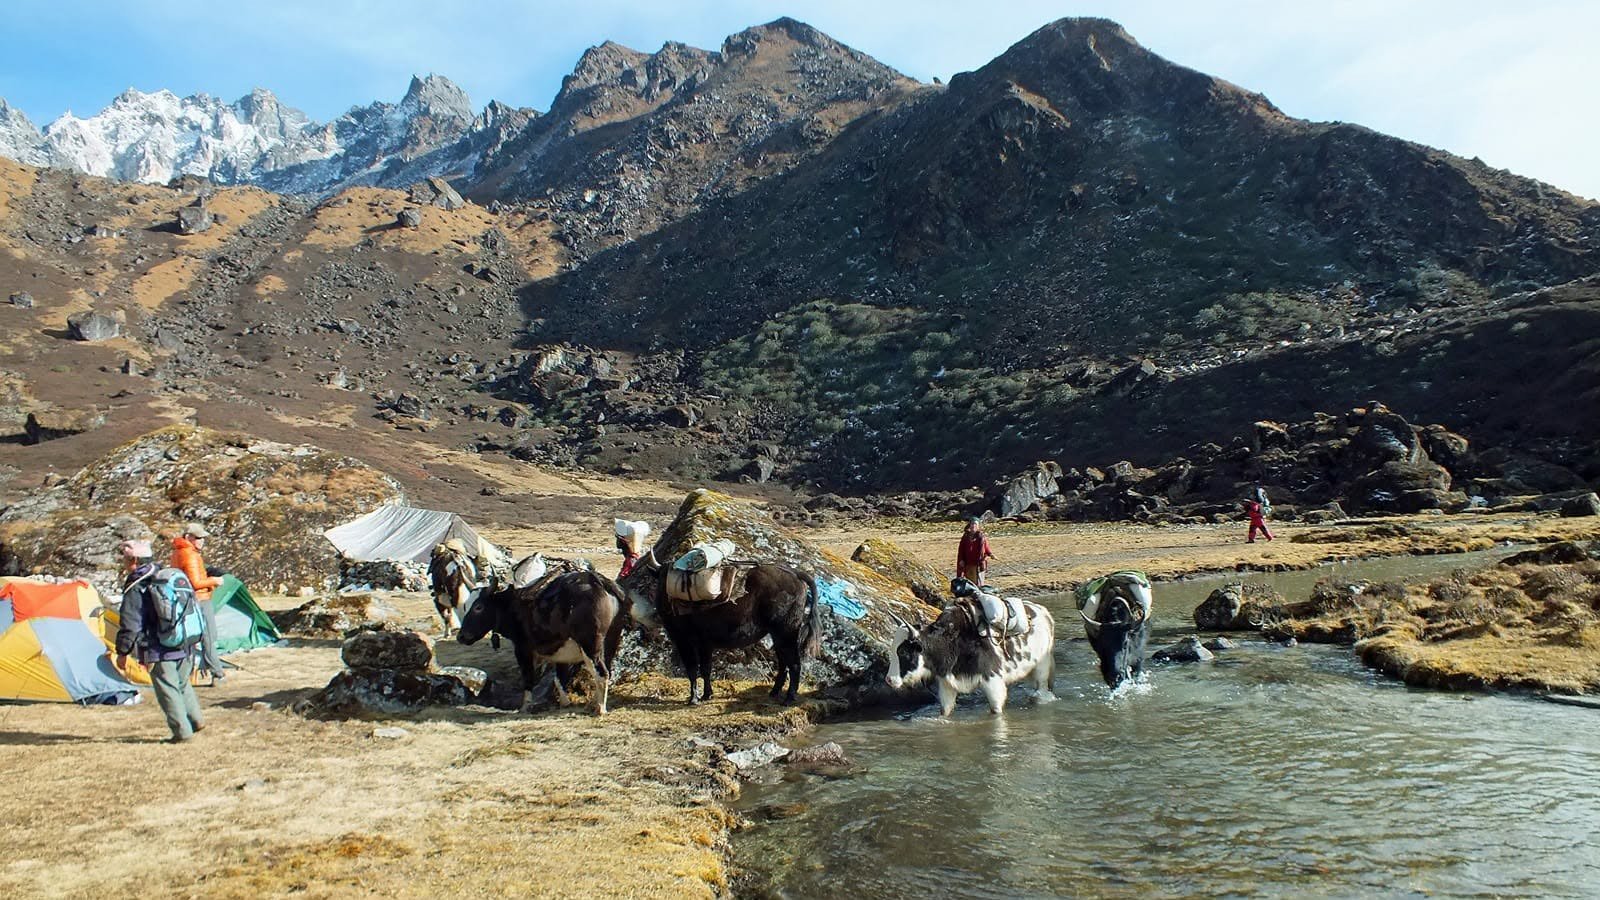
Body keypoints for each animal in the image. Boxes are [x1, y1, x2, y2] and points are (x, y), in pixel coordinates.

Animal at [457, 569, 629, 715]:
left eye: (478, 607)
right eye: (465, 606)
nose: (461, 636)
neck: (513, 606)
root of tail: (597, 581)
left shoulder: (523, 650)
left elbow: (528, 678)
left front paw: (525, 707)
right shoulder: (561, 654)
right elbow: (559, 679)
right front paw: (565, 702)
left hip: (591, 645)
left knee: (601, 673)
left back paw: (600, 708)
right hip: (611, 640)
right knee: (607, 671)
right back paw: (594, 703)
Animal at [627, 557, 823, 706]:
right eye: (660, 580)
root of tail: (795, 574)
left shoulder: (684, 641)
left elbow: (692, 668)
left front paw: (693, 698)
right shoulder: (705, 644)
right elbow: (705, 668)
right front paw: (707, 695)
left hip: (786, 633)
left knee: (794, 664)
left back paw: (789, 698)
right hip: (777, 635)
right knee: (784, 663)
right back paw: (774, 692)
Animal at [886, 598, 1056, 716]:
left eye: (903, 652)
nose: (889, 680)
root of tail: (1043, 611)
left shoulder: (992, 681)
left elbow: (996, 711)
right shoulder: (947, 684)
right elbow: (945, 711)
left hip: (1042, 667)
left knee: (1040, 690)